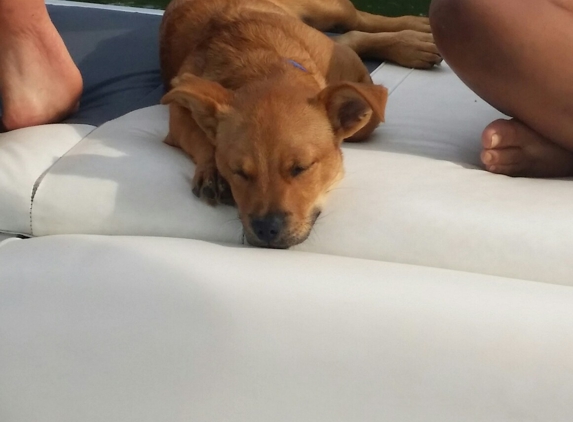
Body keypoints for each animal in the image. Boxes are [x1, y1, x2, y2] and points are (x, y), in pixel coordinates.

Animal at [159, 0, 436, 247]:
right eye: (238, 172)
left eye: (301, 168)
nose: (266, 229)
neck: (260, 64)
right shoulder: (178, 107)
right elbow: (197, 135)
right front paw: (213, 171)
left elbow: (363, 119)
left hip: (329, 9)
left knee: (358, 24)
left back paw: (414, 37)